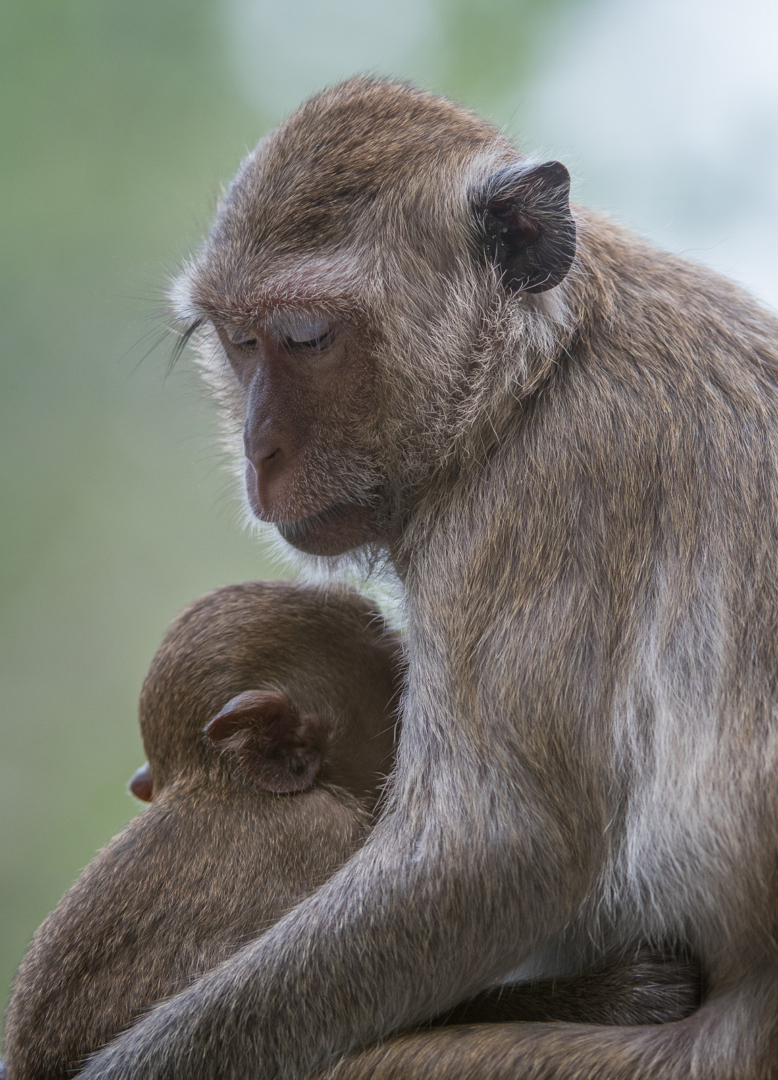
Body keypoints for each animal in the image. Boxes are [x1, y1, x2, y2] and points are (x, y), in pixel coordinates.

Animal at [73, 76, 778, 1078]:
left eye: (306, 337)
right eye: (241, 343)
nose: (259, 452)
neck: (539, 368)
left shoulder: (529, 504)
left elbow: (499, 848)